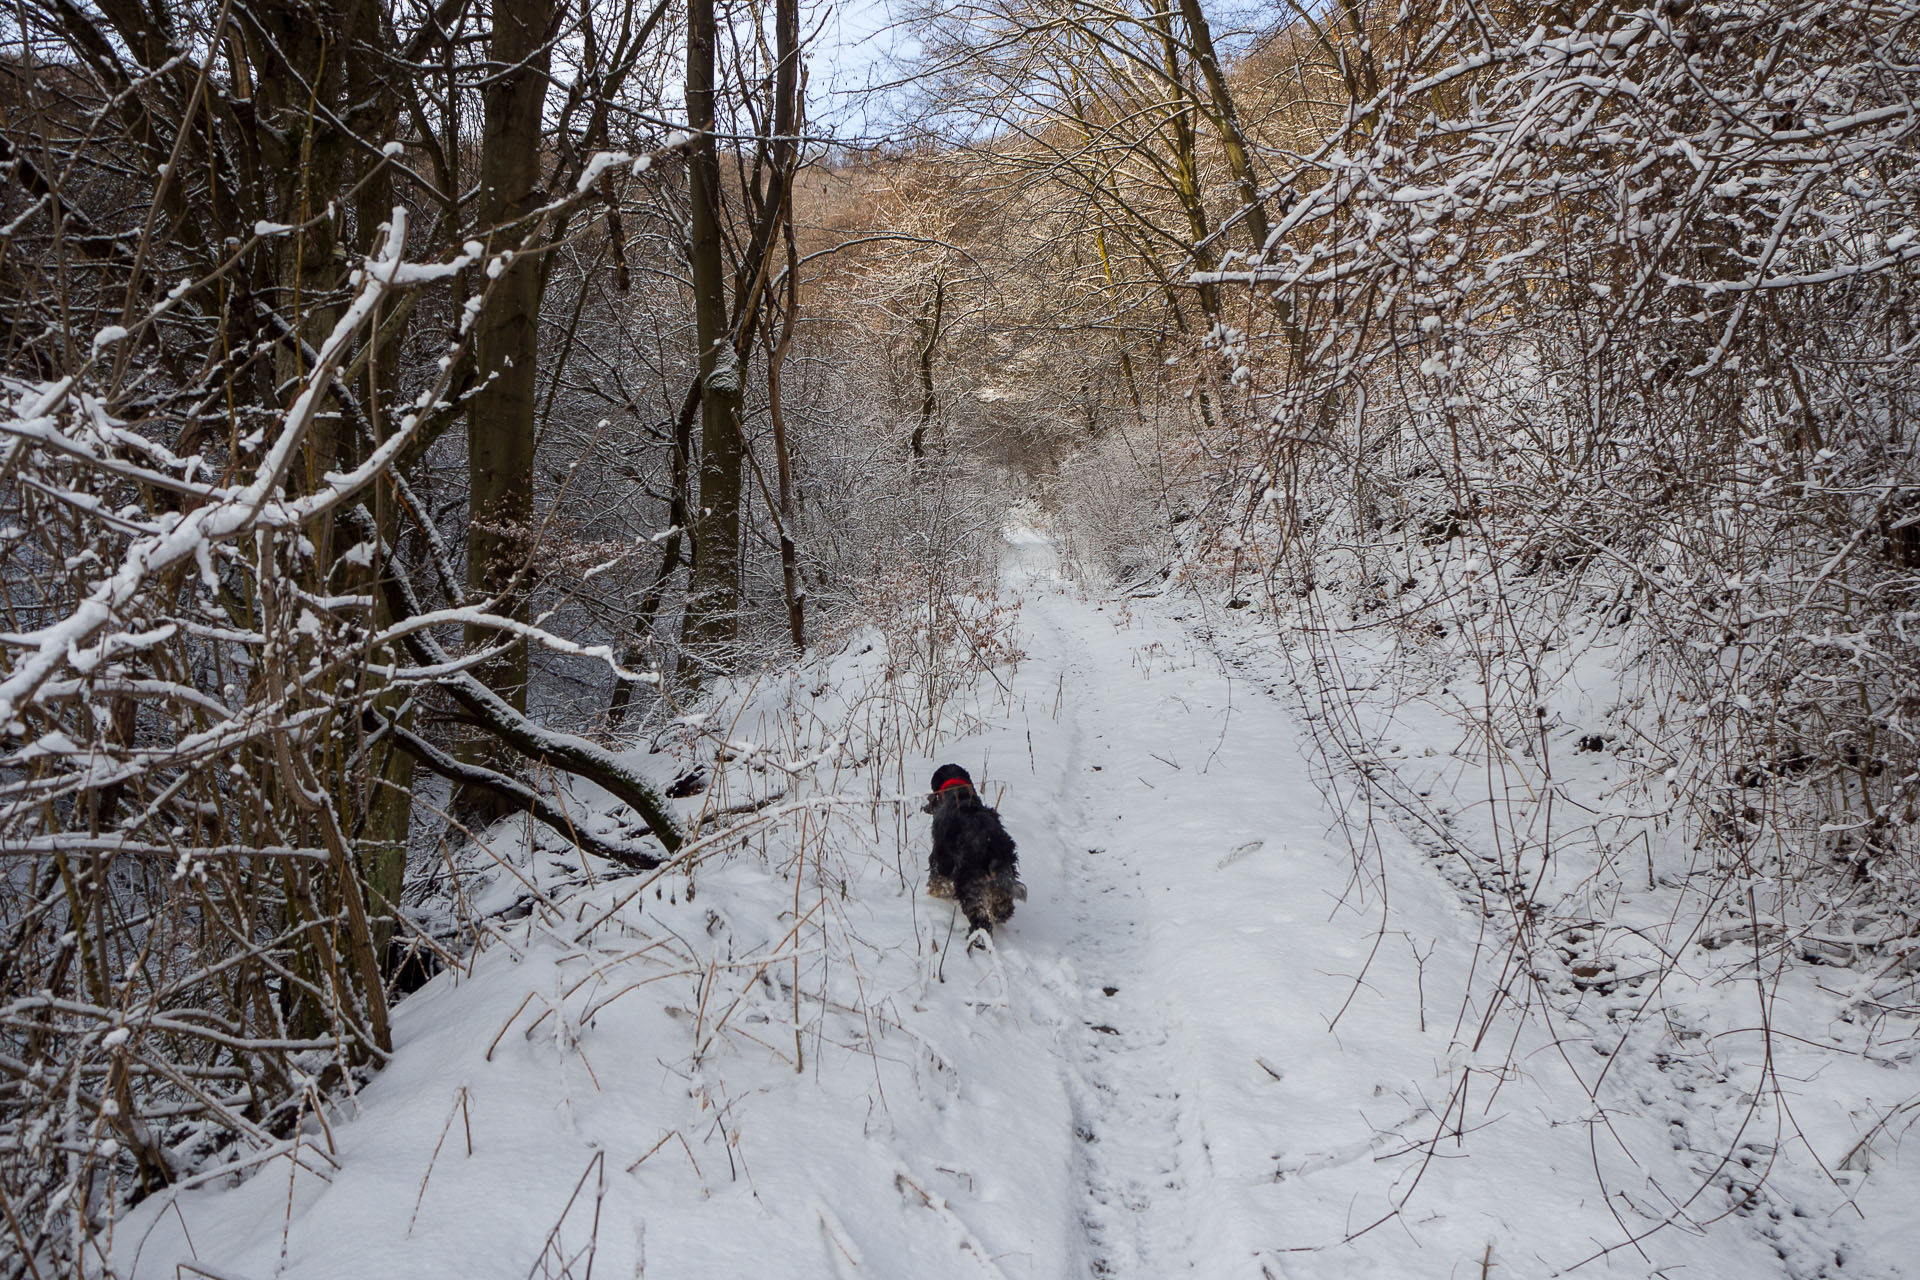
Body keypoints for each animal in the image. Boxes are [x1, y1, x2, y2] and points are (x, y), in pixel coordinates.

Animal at [925, 771, 1029, 940]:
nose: (926, 806)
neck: (959, 792)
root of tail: (993, 847)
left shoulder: (940, 857)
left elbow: (937, 879)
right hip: (1005, 875)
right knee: (1003, 906)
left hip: (970, 881)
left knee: (980, 918)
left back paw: (977, 938)